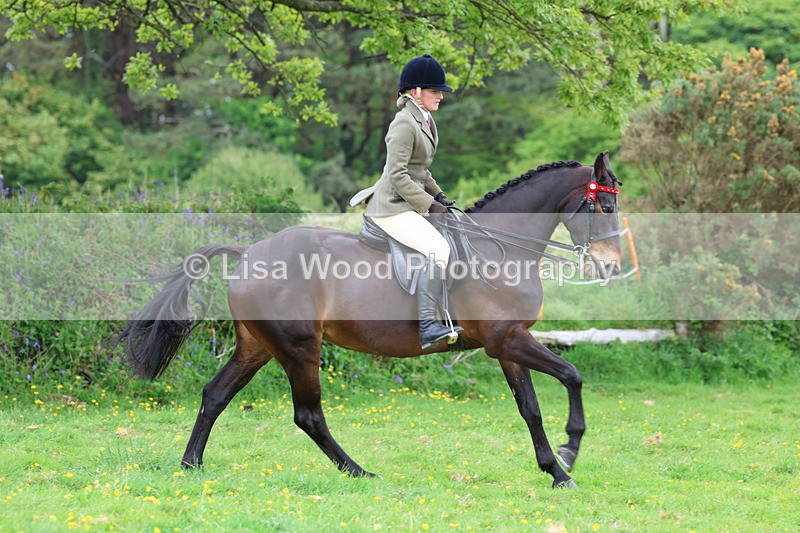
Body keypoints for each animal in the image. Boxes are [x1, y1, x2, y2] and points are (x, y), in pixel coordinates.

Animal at [116, 151, 624, 489]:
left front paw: (555, 471)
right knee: (308, 415)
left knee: (215, 395)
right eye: (604, 206)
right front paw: (570, 450)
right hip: (300, 349)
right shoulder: (508, 340)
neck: (501, 248)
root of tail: (248, 253)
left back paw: (191, 465)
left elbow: (530, 408)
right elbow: (572, 375)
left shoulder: (508, 343)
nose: (611, 267)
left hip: (257, 347)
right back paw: (359, 471)